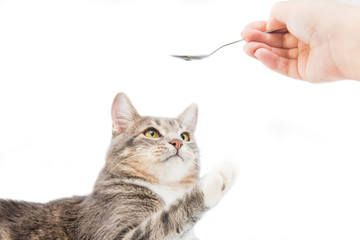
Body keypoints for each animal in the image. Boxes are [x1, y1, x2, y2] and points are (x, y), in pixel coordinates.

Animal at [0, 93, 238, 239]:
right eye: (152, 133)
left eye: (185, 136)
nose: (177, 143)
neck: (166, 189)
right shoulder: (114, 233)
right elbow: (165, 219)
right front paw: (215, 180)